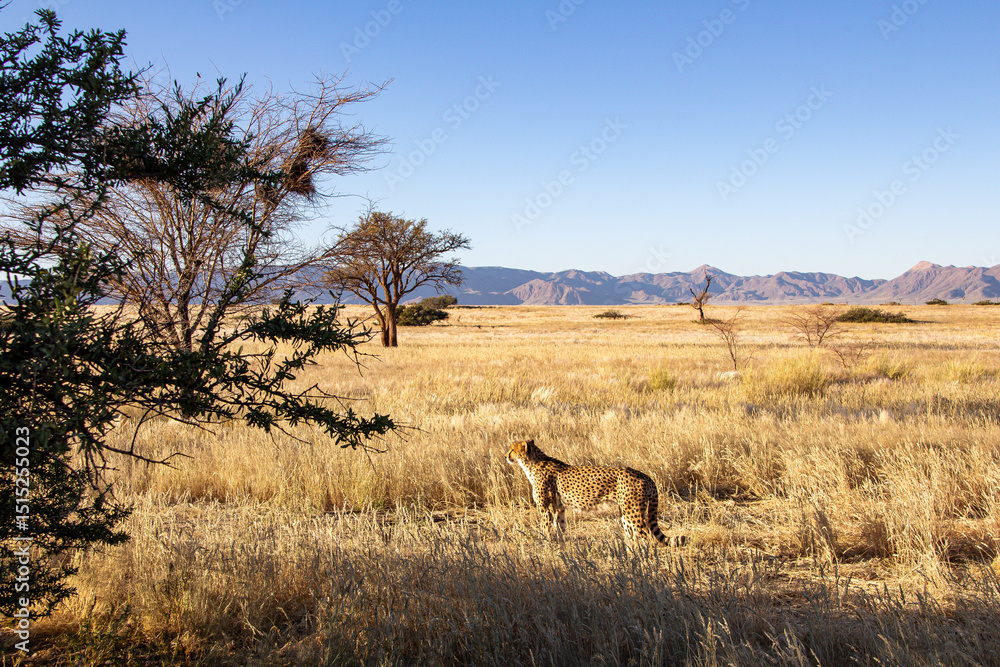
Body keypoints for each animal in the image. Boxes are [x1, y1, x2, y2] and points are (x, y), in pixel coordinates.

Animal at [506, 439, 685, 547]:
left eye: (512, 449)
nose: (506, 455)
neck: (531, 463)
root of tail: (645, 475)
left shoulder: (545, 508)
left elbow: (546, 528)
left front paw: (547, 545)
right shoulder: (559, 508)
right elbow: (561, 528)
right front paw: (562, 548)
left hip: (634, 512)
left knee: (646, 536)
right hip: (626, 513)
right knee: (632, 536)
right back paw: (631, 557)